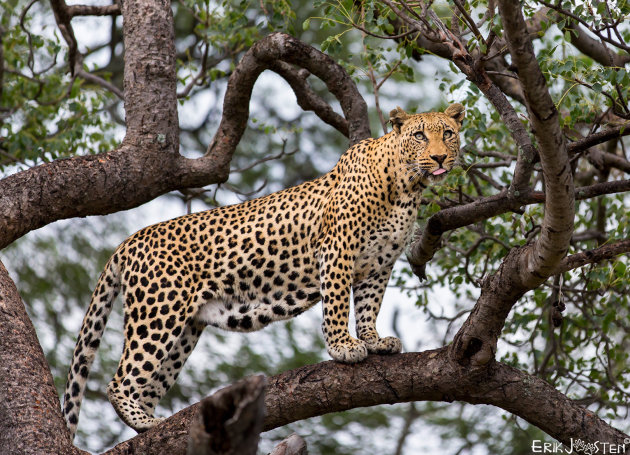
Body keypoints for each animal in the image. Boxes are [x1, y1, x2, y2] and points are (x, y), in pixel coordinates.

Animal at [64, 103, 466, 438]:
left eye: (447, 132)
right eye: (419, 135)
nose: (439, 156)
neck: (406, 187)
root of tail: (130, 240)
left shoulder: (379, 264)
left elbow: (369, 306)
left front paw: (374, 340)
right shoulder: (338, 251)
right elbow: (337, 304)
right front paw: (343, 346)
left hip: (184, 330)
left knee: (149, 383)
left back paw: (152, 424)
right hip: (159, 312)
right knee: (120, 380)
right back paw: (144, 420)